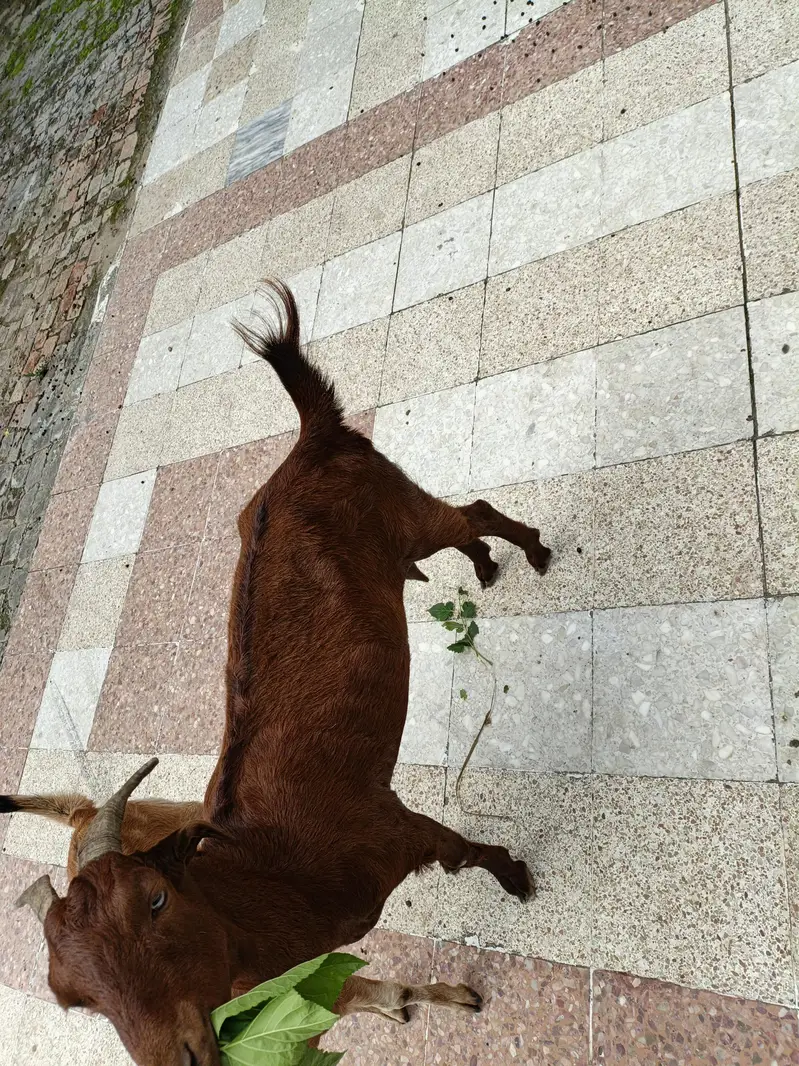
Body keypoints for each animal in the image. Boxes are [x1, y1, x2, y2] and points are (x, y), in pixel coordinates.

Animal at [15, 281, 551, 1066]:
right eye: (73, 999)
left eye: (155, 899)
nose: (181, 1055)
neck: (269, 876)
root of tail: (310, 439)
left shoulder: (390, 831)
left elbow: (461, 851)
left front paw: (518, 881)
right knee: (464, 526)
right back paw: (485, 569)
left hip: (400, 507)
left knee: (470, 513)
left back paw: (530, 554)